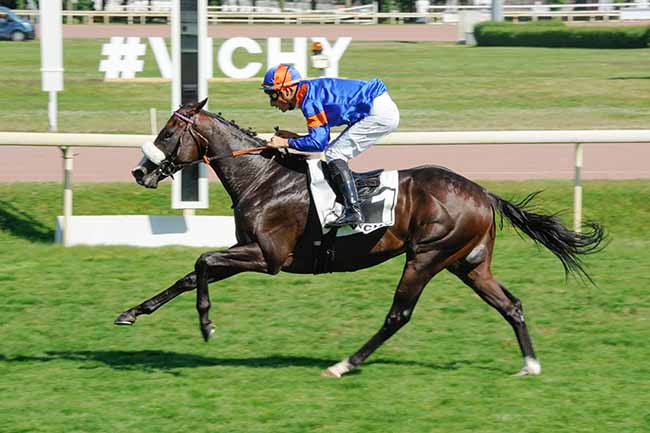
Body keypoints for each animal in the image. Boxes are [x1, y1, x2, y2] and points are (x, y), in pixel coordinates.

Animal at [115, 99, 604, 376]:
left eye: (168, 132)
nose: (139, 171)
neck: (263, 177)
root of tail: (483, 192)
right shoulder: (246, 251)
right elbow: (189, 273)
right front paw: (132, 313)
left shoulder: (267, 256)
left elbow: (201, 261)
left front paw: (206, 325)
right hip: (468, 264)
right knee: (511, 305)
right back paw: (530, 365)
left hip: (426, 257)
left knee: (398, 315)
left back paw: (344, 364)